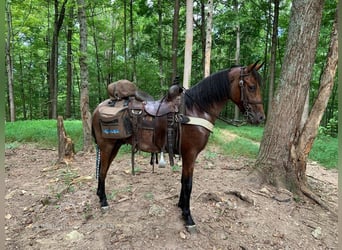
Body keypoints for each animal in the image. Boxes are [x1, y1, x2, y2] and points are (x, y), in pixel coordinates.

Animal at [92, 61, 266, 229]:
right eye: (252, 86)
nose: (261, 117)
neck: (196, 110)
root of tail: (97, 109)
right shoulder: (190, 154)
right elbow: (188, 184)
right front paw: (188, 217)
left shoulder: (187, 155)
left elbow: (183, 181)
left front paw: (181, 206)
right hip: (107, 146)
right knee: (102, 171)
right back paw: (104, 202)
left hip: (115, 146)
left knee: (103, 170)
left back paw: (100, 196)